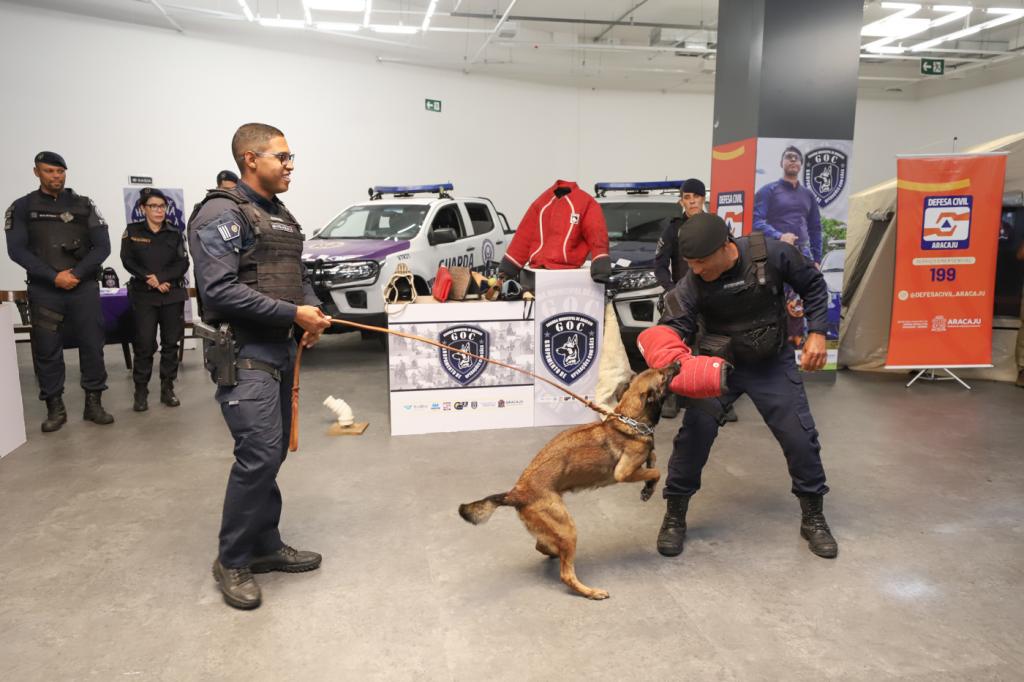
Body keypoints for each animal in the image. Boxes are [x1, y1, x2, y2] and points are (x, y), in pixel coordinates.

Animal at [458, 361, 681, 600]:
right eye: (663, 375)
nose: (678, 362)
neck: (631, 419)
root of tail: (515, 493)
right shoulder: (623, 472)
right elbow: (656, 471)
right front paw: (649, 486)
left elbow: (653, 459)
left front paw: (648, 484)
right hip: (567, 528)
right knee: (566, 574)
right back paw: (590, 591)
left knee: (543, 547)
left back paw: (554, 551)